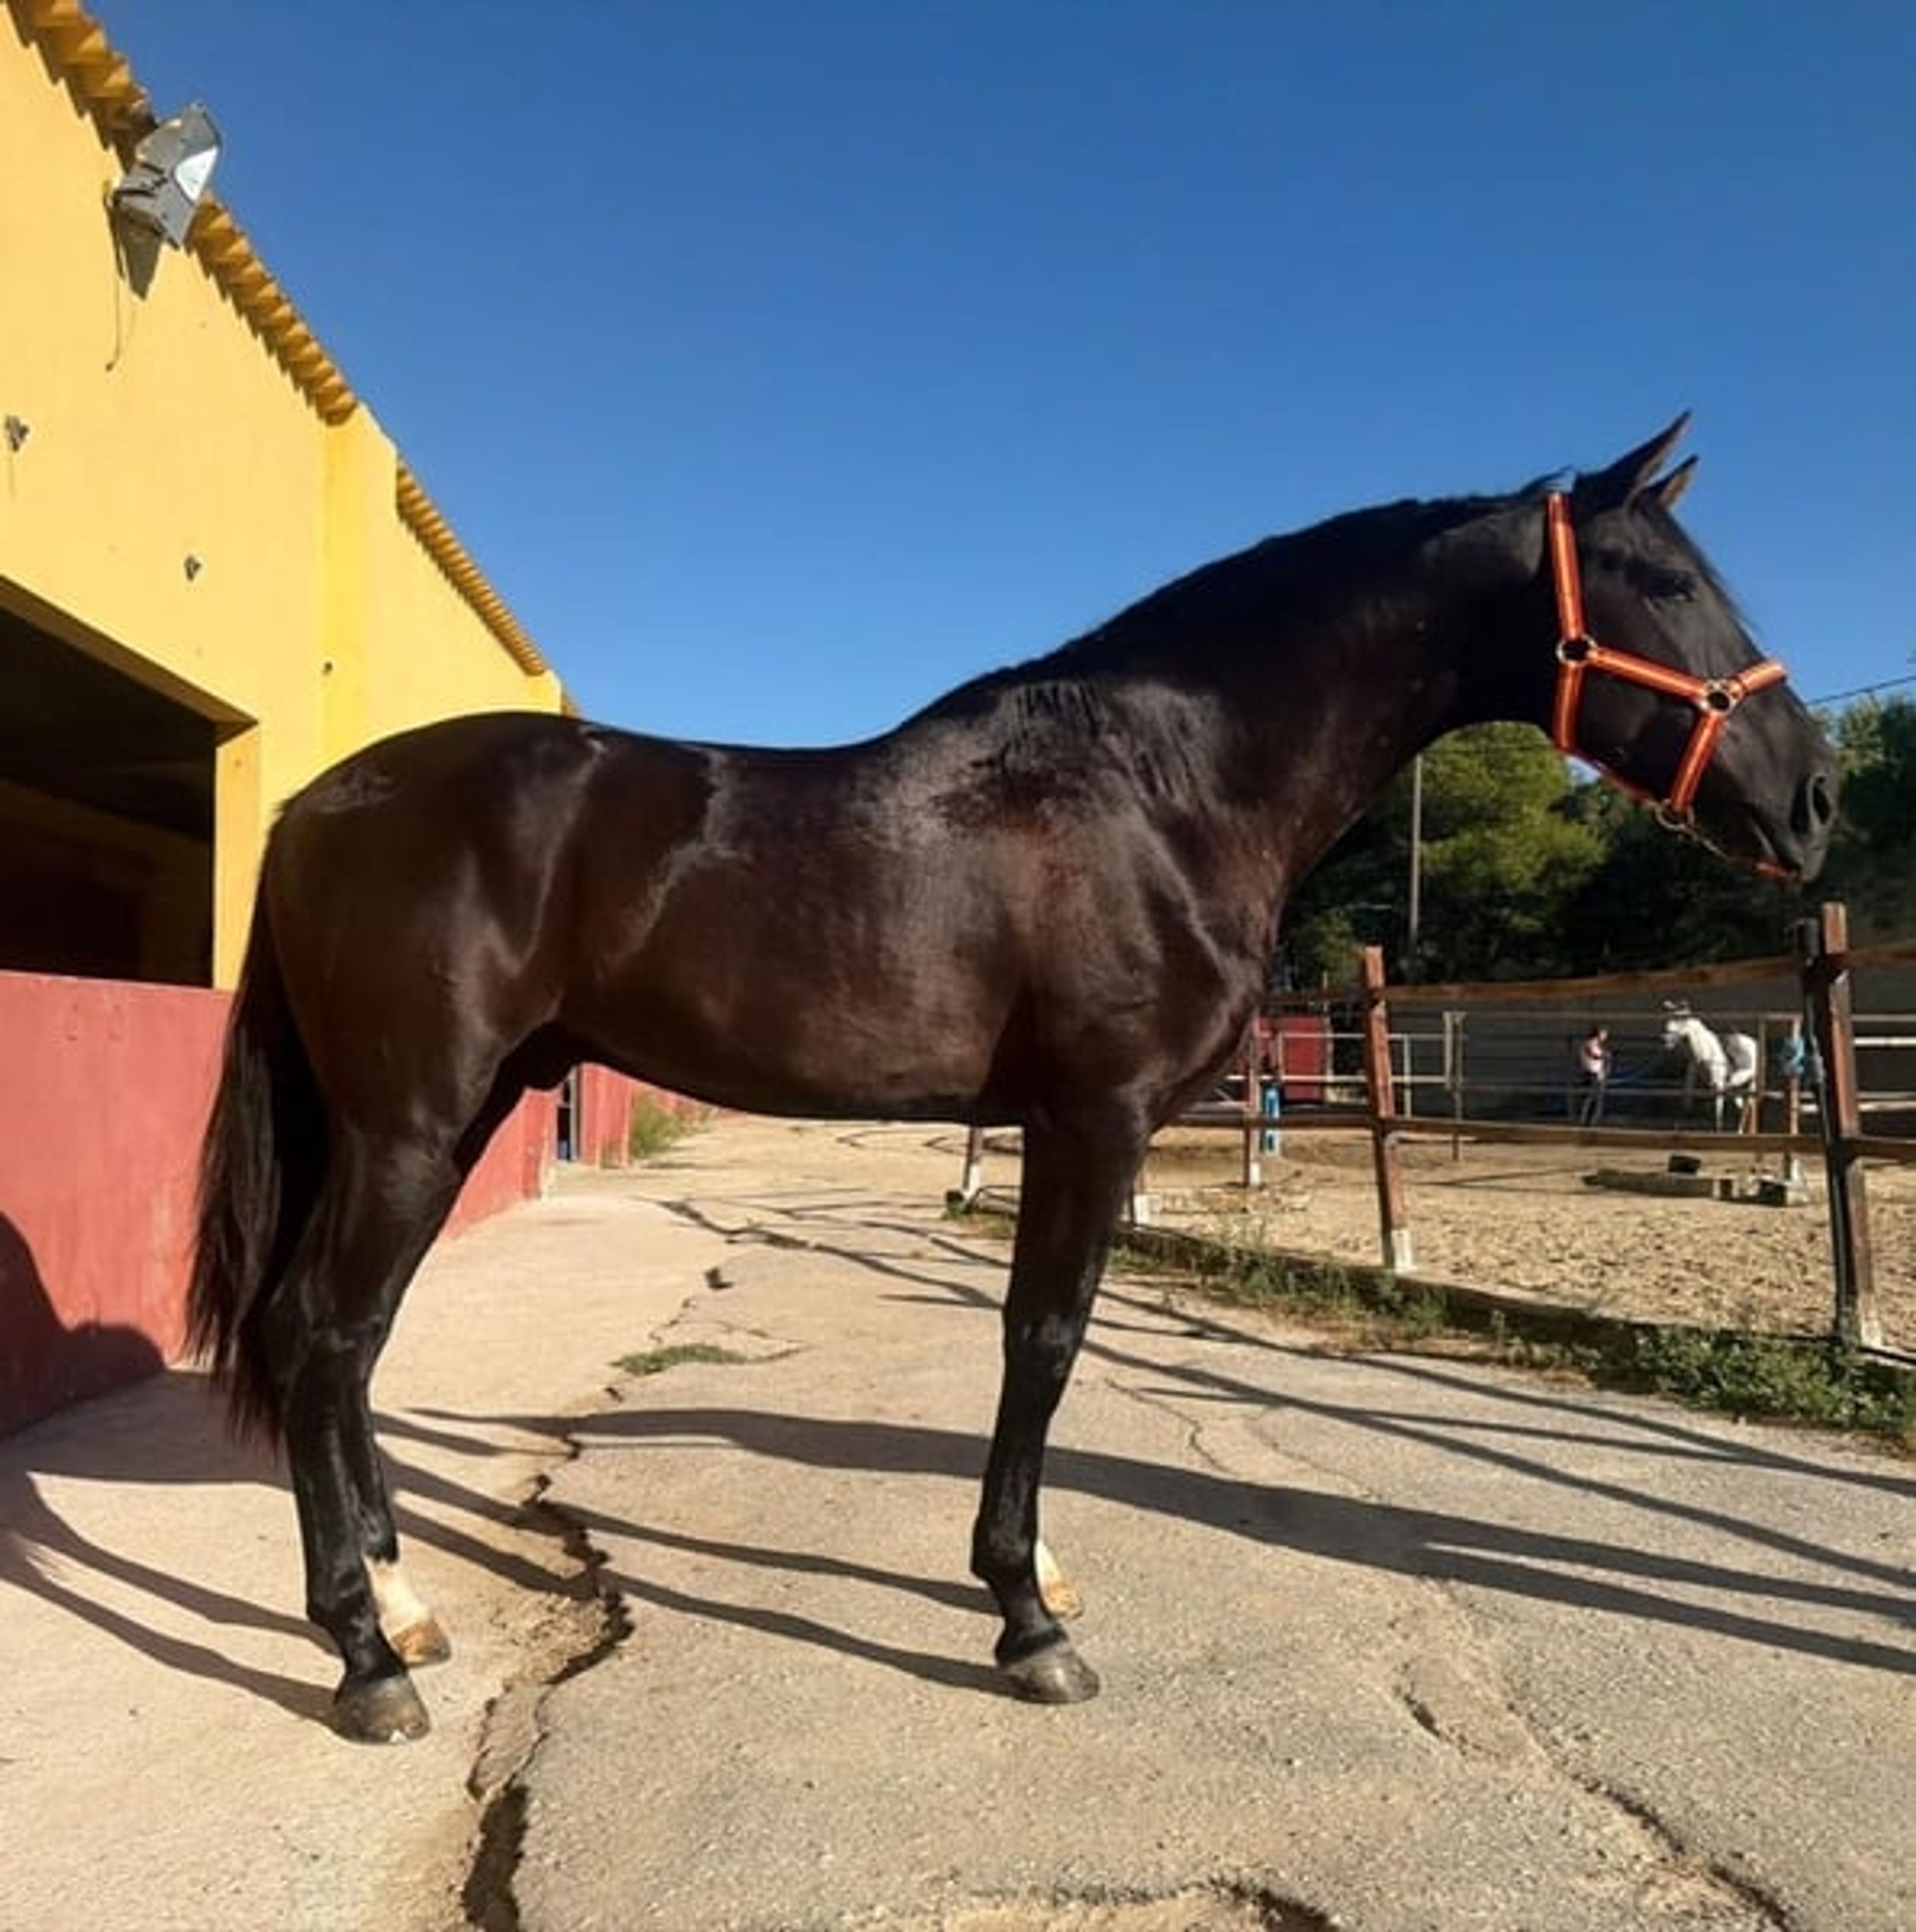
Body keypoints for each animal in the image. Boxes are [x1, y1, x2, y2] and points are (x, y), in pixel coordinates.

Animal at [1662, 1006, 1762, 1132]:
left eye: (1681, 1019)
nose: (1665, 1039)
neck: (1707, 1052)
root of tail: (1754, 1043)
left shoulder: (1718, 1087)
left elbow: (1717, 1115)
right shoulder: (1709, 1087)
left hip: (1751, 1083)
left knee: (1748, 1106)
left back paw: (1740, 1131)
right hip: (1736, 1086)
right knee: (1744, 1106)